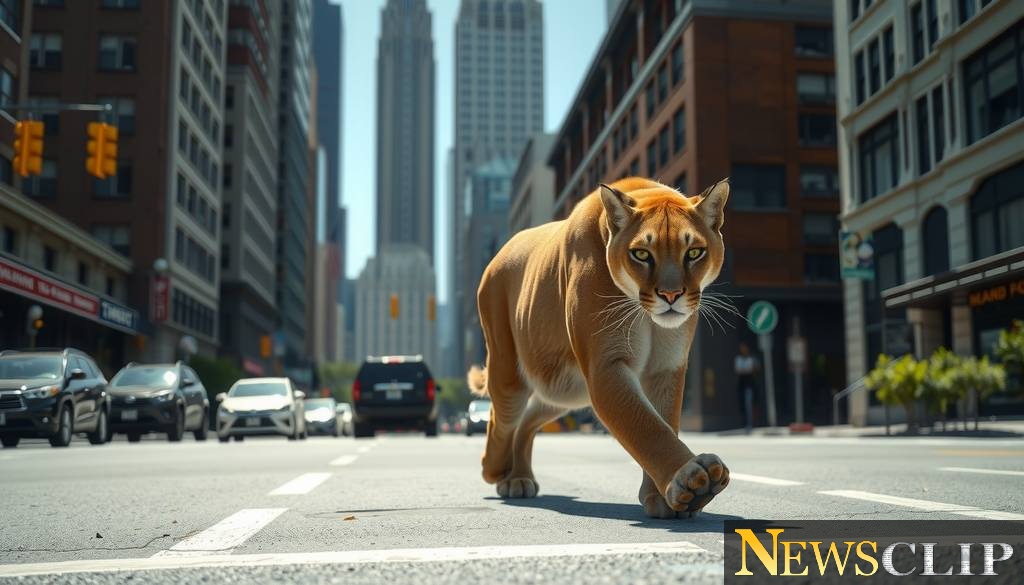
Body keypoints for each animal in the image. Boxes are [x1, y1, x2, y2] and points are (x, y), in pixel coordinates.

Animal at [472, 177, 731, 518]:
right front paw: (689, 479)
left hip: (564, 390)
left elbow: (663, 421)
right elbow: (645, 426)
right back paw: (497, 471)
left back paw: (518, 477)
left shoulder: (665, 368)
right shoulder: (606, 367)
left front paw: (662, 498)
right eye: (642, 254)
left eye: (694, 252)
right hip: (509, 374)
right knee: (502, 418)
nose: (671, 295)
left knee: (527, 419)